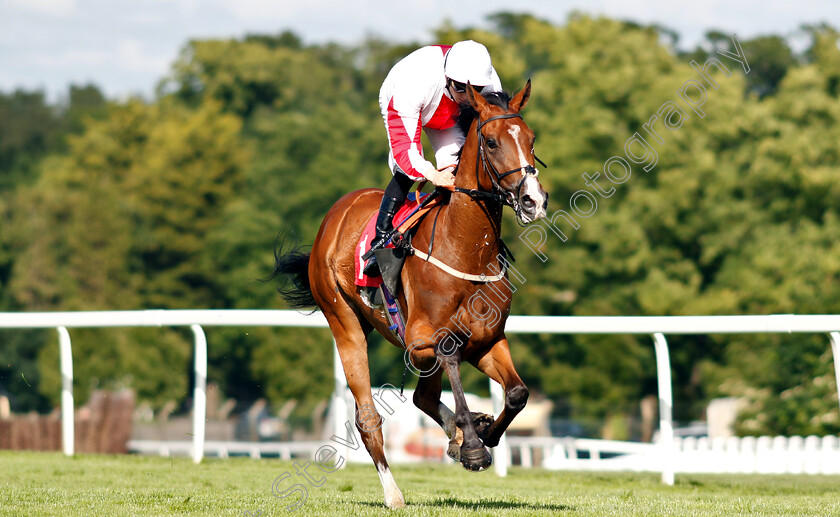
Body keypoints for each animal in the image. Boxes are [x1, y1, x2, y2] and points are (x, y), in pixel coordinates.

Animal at [276, 81, 548, 508]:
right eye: (490, 142)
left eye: (531, 138)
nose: (532, 200)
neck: (465, 247)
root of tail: (337, 212)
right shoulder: (422, 341)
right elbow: (448, 354)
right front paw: (472, 445)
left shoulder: (487, 341)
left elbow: (518, 393)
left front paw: (482, 433)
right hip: (344, 322)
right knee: (368, 417)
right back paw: (394, 492)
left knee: (423, 398)